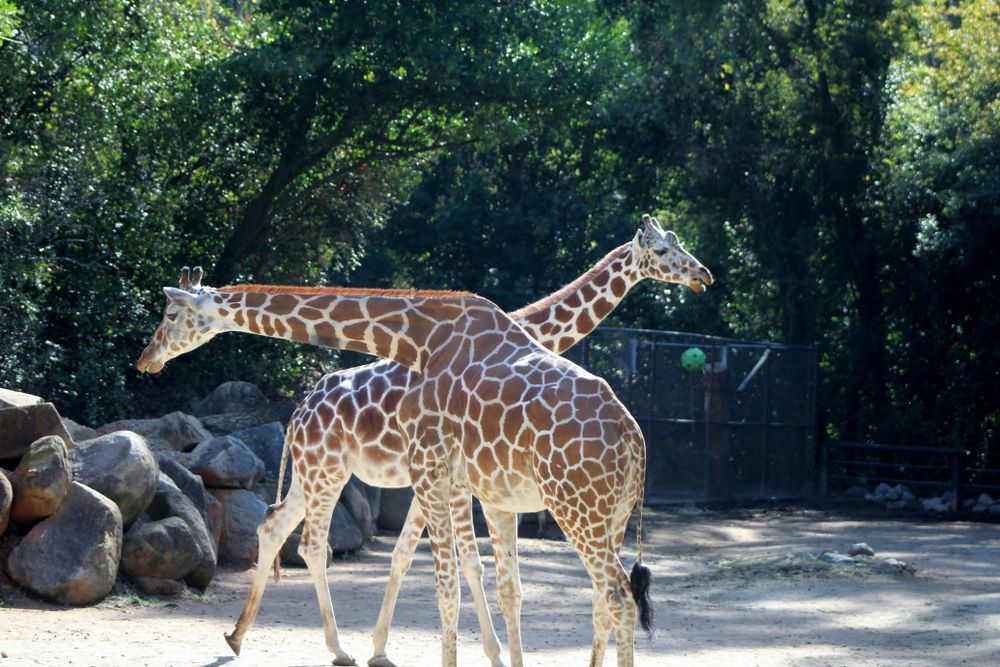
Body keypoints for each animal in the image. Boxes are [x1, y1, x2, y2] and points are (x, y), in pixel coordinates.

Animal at [135, 216, 713, 667]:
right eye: (666, 248)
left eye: (170, 314)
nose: (148, 358)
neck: (420, 337)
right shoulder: (464, 486)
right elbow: (478, 580)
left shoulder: (442, 478)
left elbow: (448, 579)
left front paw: (406, 649)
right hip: (328, 469)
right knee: (290, 532)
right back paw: (257, 638)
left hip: (574, 508)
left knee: (614, 595)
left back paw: (297, 643)